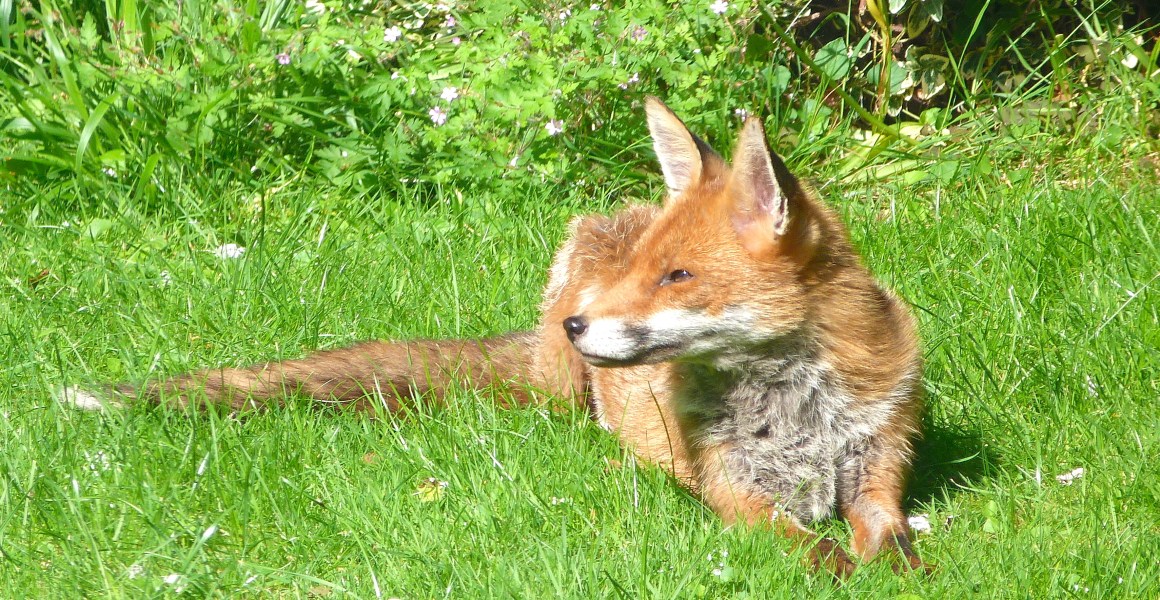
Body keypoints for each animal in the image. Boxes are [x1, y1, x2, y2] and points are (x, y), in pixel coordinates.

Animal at [61, 97, 926, 578]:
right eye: (643, 269)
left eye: (677, 276)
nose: (581, 325)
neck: (795, 405)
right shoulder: (728, 487)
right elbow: (804, 545)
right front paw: (839, 568)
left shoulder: (879, 456)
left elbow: (889, 532)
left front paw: (899, 568)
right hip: (568, 385)